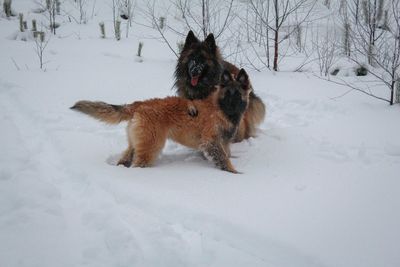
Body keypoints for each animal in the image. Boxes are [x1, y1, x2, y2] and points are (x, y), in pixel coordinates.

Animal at [72, 69, 252, 174]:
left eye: (237, 95)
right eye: (227, 95)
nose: (232, 107)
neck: (219, 108)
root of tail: (139, 104)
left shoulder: (222, 142)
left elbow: (226, 155)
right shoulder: (211, 141)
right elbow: (223, 159)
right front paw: (235, 173)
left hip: (136, 142)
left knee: (126, 158)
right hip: (151, 146)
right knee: (139, 164)